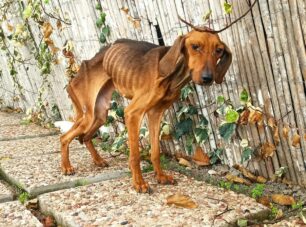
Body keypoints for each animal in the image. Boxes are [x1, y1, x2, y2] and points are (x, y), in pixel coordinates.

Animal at [59, 16, 237, 192]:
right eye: (195, 46)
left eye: (219, 50)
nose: (208, 78)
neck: (172, 76)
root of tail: (75, 76)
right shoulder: (132, 113)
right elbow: (135, 155)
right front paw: (139, 183)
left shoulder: (155, 114)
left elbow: (156, 151)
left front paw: (161, 176)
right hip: (88, 115)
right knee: (65, 137)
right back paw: (66, 167)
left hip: (100, 114)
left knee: (85, 137)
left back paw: (98, 160)